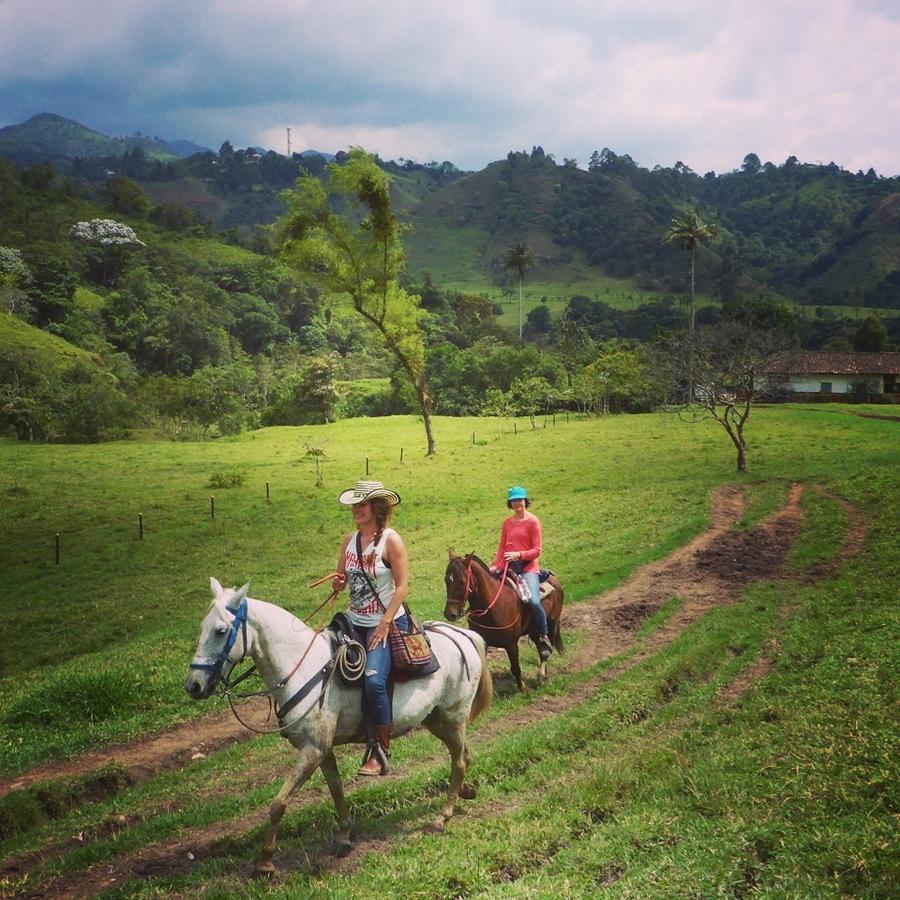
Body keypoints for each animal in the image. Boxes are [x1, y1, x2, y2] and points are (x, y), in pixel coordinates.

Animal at [184, 580, 492, 876]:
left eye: (221, 631)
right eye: (202, 627)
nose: (193, 685)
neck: (305, 669)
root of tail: (463, 635)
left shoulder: (312, 749)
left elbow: (279, 803)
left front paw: (265, 862)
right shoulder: (323, 750)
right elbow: (336, 789)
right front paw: (344, 835)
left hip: (453, 717)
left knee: (459, 760)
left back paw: (443, 816)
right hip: (435, 719)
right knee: (463, 755)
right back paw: (465, 791)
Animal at [442, 548, 564, 688]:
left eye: (462, 582)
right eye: (446, 580)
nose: (449, 614)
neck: (491, 606)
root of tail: (555, 581)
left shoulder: (511, 644)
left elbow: (515, 668)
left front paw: (522, 688)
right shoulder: (483, 643)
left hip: (552, 623)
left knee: (547, 649)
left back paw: (541, 674)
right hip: (533, 630)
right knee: (540, 647)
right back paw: (544, 677)